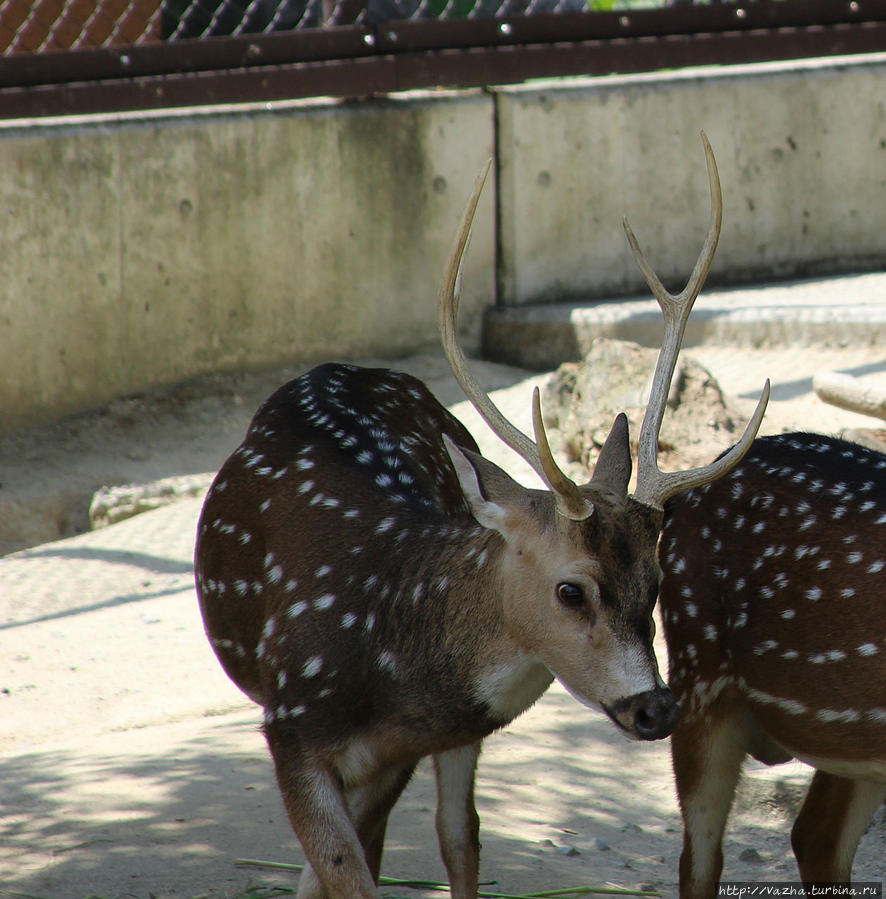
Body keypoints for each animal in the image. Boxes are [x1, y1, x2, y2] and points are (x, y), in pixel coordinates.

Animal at [194, 135, 772, 899]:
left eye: (656, 583)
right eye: (570, 589)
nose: (655, 707)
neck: (386, 646)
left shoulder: (408, 748)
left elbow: (417, 848)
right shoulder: (290, 728)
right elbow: (343, 875)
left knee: (457, 834)